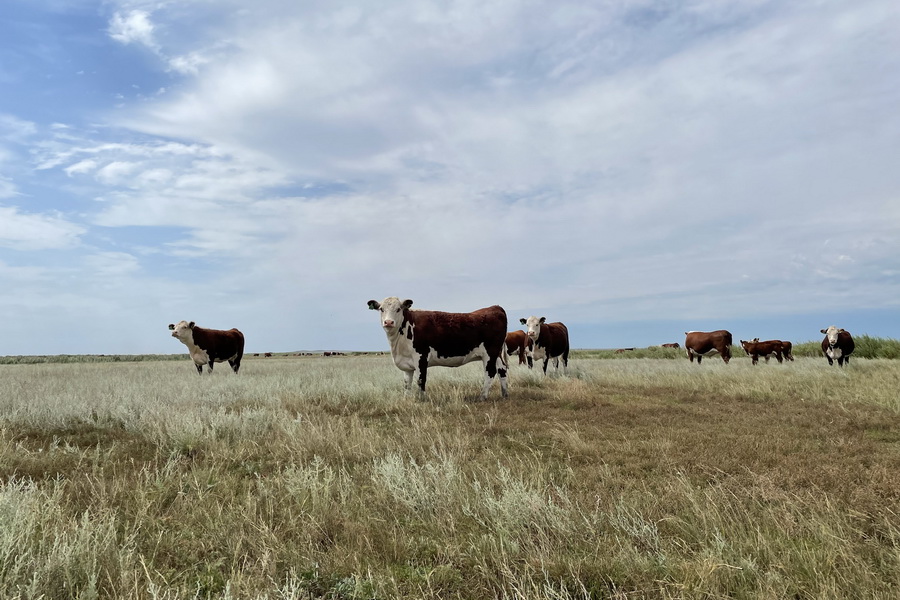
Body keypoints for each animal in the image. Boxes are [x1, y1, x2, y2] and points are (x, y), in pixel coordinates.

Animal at [364, 296, 506, 398]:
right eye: (381, 309)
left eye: (399, 309)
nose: (388, 322)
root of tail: (495, 307)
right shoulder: (406, 362)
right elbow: (406, 383)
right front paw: (406, 399)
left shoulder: (421, 357)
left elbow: (421, 380)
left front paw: (421, 400)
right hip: (496, 354)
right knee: (502, 369)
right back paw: (504, 394)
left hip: (489, 353)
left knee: (490, 372)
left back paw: (483, 396)